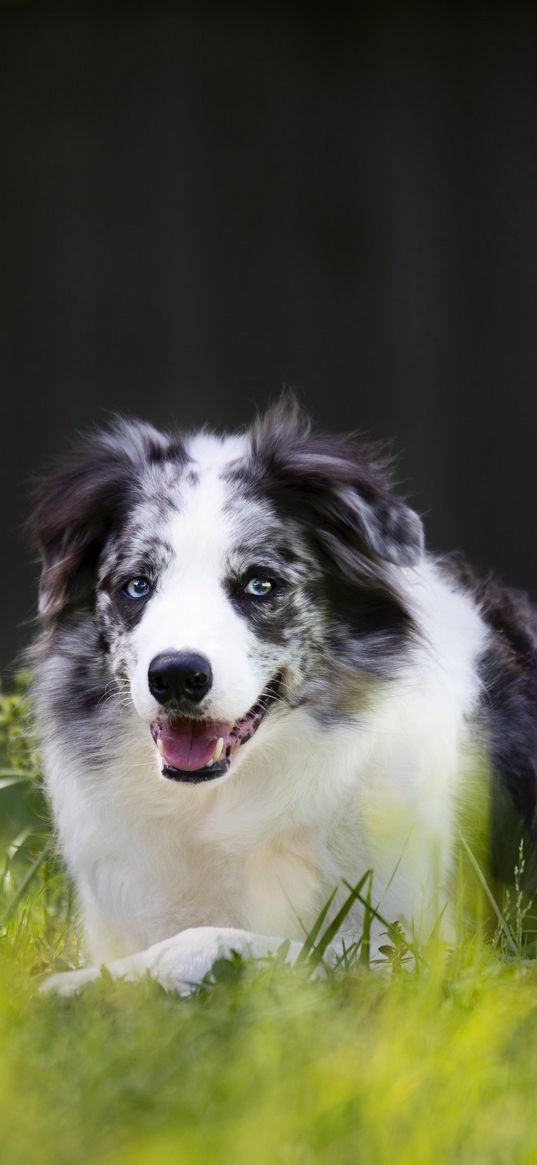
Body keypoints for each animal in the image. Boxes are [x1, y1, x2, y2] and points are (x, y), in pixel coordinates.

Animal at [30, 398, 535, 992]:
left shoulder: (420, 950)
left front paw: (77, 988)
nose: (176, 676)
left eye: (260, 584)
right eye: (137, 585)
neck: (227, 799)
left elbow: (210, 941)